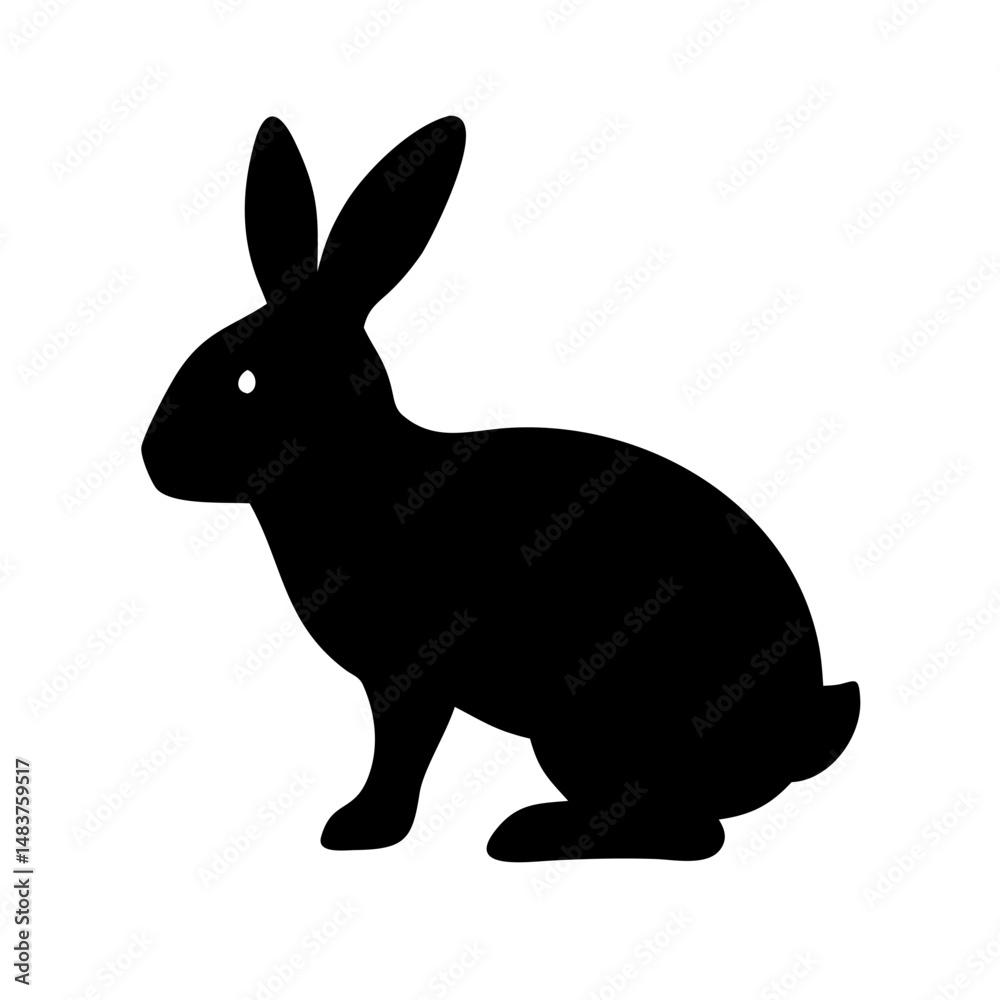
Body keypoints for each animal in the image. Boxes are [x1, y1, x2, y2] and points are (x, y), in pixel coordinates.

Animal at [142, 115, 860, 862]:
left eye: (247, 381)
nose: (151, 460)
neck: (355, 471)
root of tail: (799, 731)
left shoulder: (412, 675)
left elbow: (402, 751)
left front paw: (360, 828)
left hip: (585, 728)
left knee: (691, 832)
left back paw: (527, 834)